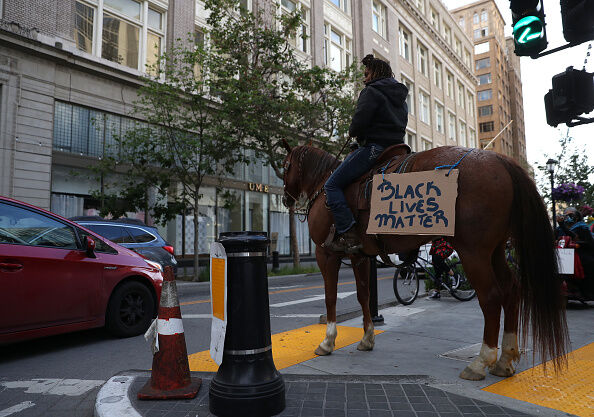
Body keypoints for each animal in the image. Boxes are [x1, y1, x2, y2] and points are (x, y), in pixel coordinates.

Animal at [282, 143, 568, 380]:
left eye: (285, 166)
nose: (285, 198)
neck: (324, 187)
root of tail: (500, 159)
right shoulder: (358, 256)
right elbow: (364, 296)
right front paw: (367, 339)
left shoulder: (326, 254)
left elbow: (330, 297)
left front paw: (327, 342)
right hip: (495, 250)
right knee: (511, 290)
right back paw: (505, 360)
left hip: (473, 251)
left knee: (491, 297)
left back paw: (480, 362)